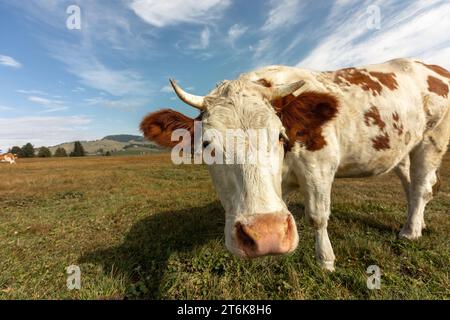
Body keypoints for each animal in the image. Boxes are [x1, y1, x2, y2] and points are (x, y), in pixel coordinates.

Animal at [141, 58, 450, 272]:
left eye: (279, 135)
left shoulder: (320, 165)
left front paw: (325, 260)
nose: (265, 236)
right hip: (404, 150)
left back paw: (410, 232)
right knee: (412, 187)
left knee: (422, 187)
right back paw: (416, 223)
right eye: (206, 144)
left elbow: (318, 216)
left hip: (432, 139)